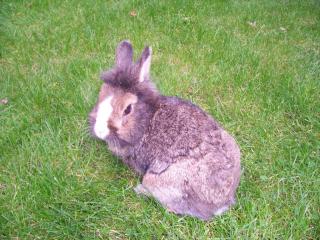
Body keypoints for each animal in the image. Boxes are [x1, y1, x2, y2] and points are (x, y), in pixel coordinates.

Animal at [89, 40, 241, 220]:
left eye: (127, 109)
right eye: (100, 95)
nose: (99, 131)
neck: (147, 120)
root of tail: (221, 203)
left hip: (158, 180)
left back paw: (141, 190)